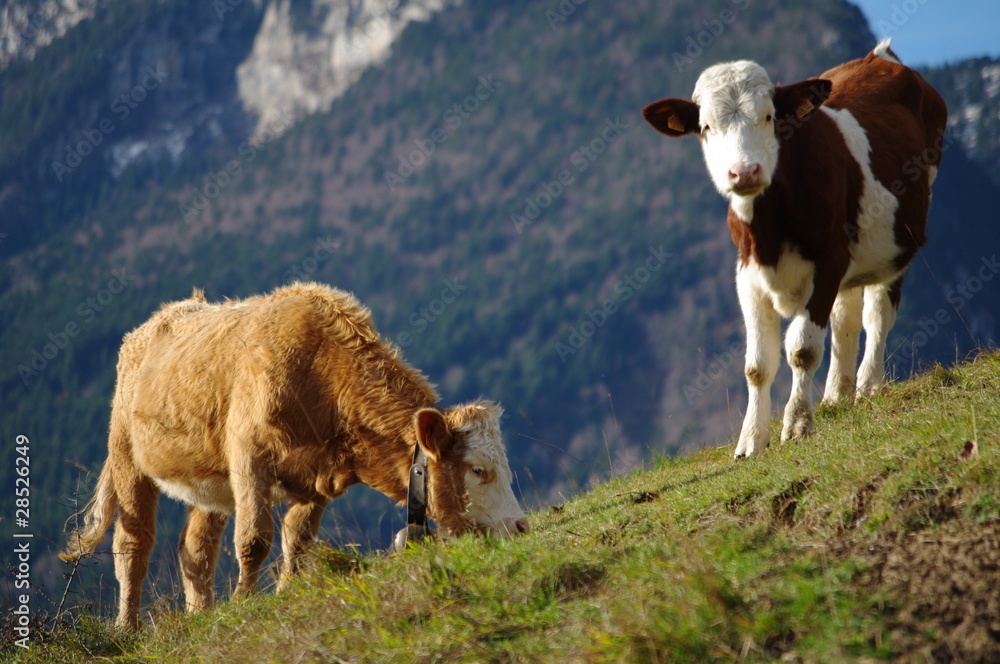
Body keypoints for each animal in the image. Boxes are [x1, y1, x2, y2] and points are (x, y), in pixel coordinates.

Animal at [61, 282, 529, 628]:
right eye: (479, 469)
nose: (521, 526)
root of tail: (160, 318)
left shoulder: (319, 477)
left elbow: (298, 541)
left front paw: (287, 596)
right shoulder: (249, 460)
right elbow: (255, 539)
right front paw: (245, 605)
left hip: (208, 481)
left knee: (195, 550)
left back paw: (200, 617)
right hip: (127, 455)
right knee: (133, 543)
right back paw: (128, 627)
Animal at [642, 39, 947, 457]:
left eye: (769, 116)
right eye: (705, 127)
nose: (744, 172)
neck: (770, 229)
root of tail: (879, 56)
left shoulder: (828, 260)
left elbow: (802, 349)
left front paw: (798, 423)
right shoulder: (748, 274)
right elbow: (757, 364)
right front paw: (751, 441)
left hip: (899, 239)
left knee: (878, 311)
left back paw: (868, 386)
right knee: (845, 315)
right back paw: (836, 395)